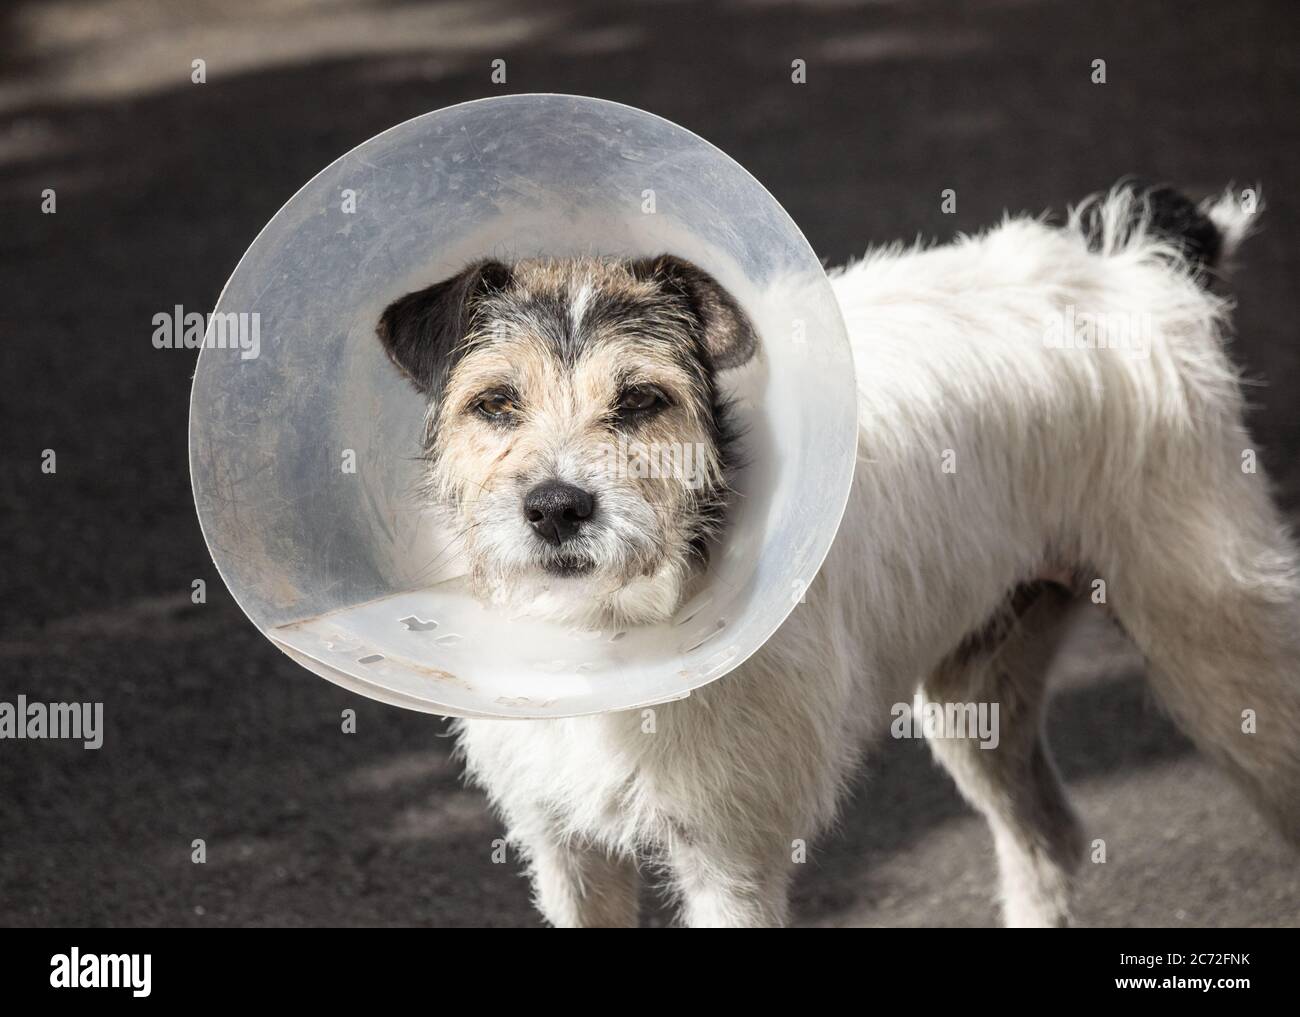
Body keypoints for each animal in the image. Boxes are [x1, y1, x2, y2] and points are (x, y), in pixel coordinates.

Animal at [371, 179, 1294, 925]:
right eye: (496, 402)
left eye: (640, 401)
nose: (557, 508)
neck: (608, 632)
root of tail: (1135, 268)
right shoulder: (567, 850)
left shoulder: (732, 863)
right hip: (976, 699)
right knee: (1050, 840)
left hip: (1224, 663)